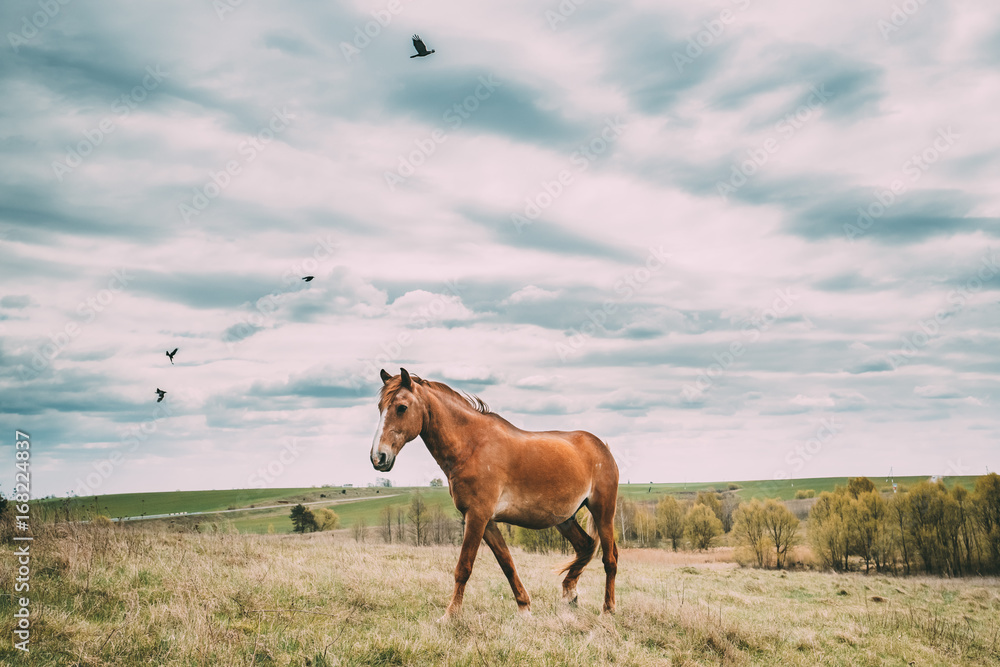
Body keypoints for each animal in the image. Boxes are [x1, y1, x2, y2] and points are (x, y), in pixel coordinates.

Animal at [370, 368, 619, 619]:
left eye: (402, 407)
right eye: (380, 407)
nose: (378, 457)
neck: (472, 446)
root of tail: (602, 447)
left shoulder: (477, 517)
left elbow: (464, 567)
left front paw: (450, 615)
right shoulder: (486, 521)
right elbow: (507, 563)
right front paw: (524, 608)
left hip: (603, 513)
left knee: (609, 559)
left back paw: (608, 609)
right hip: (565, 519)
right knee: (585, 546)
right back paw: (570, 594)